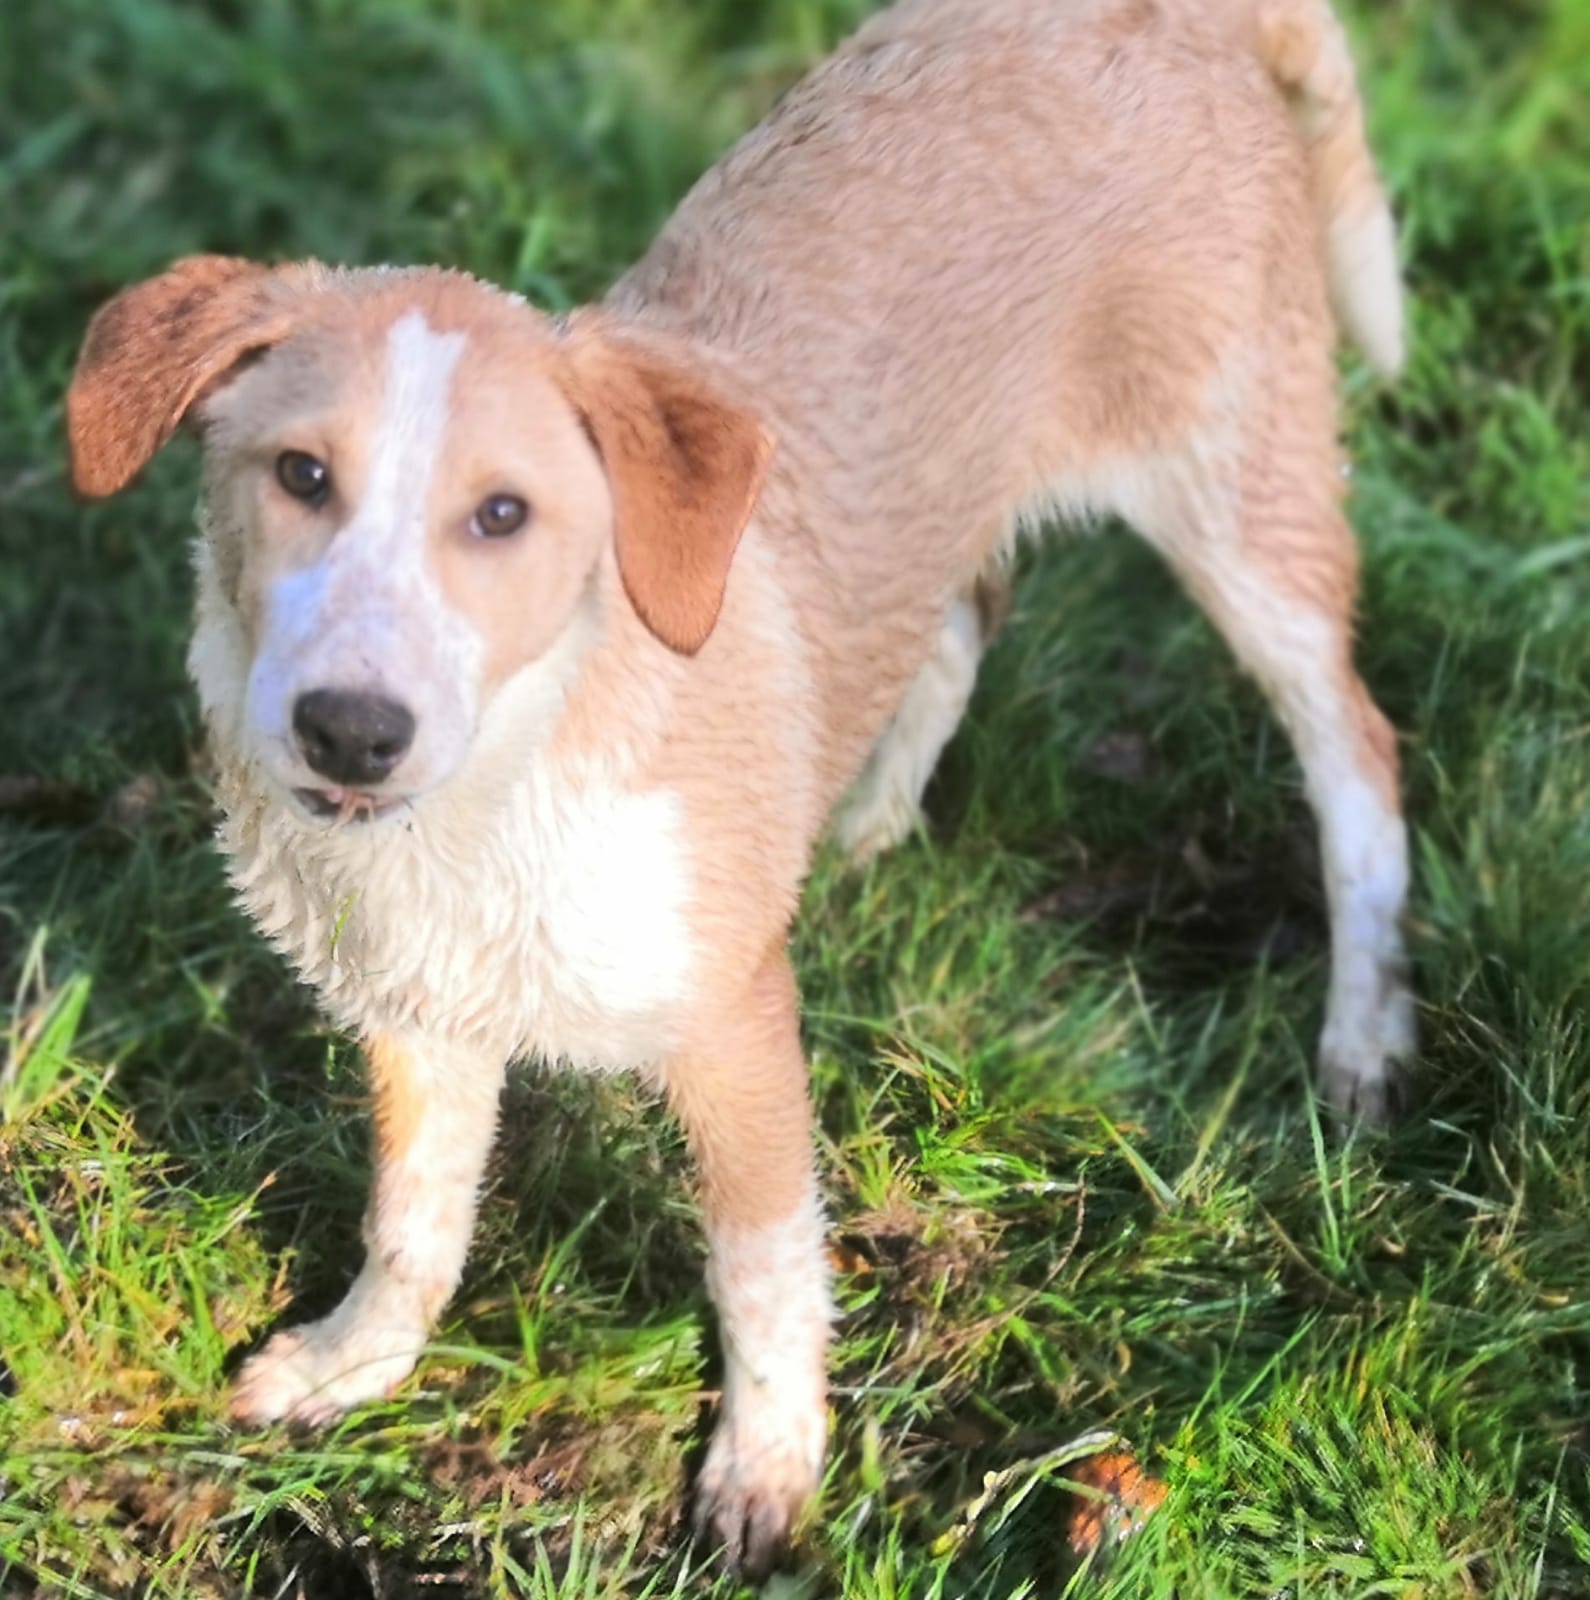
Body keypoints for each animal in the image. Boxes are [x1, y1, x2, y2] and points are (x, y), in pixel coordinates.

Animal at [67, 0, 1412, 1571]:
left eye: (503, 515)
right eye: (298, 475)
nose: (350, 733)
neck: (507, 781)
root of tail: (1183, 17)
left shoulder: (731, 1027)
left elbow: (762, 1263)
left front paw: (770, 1471)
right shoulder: (418, 1014)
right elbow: (412, 1221)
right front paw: (359, 1365)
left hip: (1239, 496)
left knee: (1356, 751)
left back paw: (1365, 1036)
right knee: (965, 606)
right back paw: (865, 824)